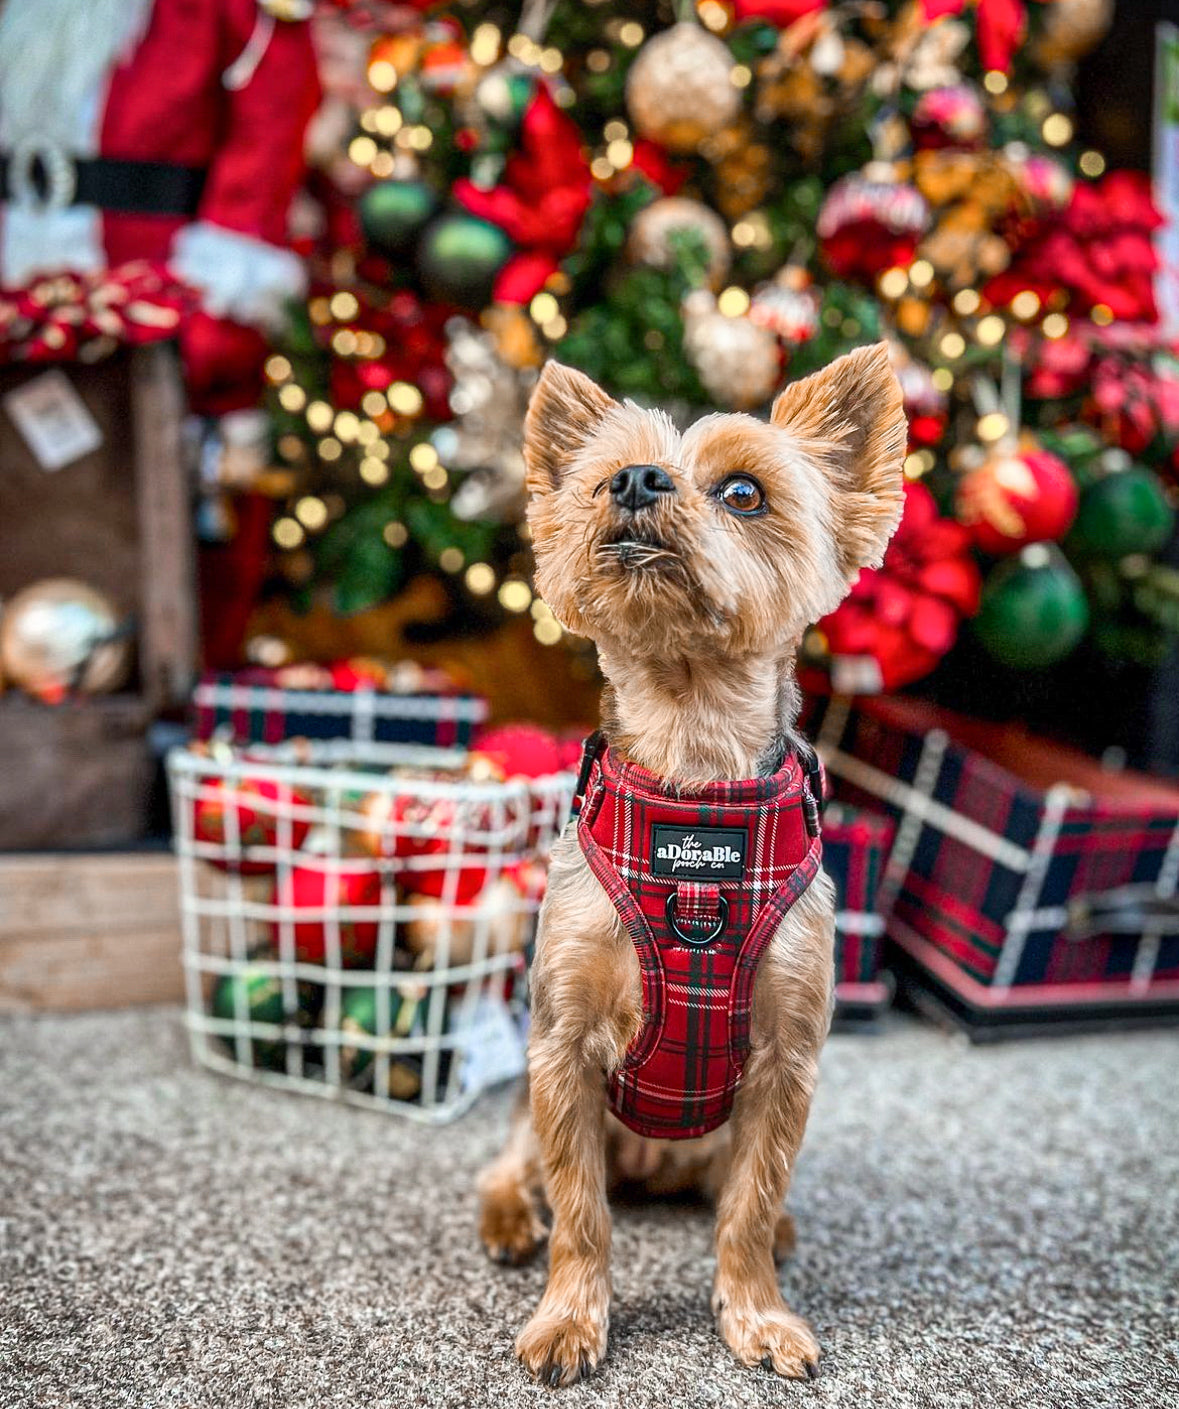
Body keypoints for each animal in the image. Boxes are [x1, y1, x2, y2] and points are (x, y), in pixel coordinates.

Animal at [476, 343, 901, 1386]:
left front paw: (758, 1315)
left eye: (744, 492)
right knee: (509, 1165)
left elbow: (746, 1208)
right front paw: (568, 1319)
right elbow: (580, 1215)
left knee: (734, 1194)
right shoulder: (560, 1046)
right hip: (532, 1105)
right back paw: (508, 1216)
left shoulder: (785, 1061)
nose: (632, 482)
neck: (692, 779)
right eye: (599, 478)